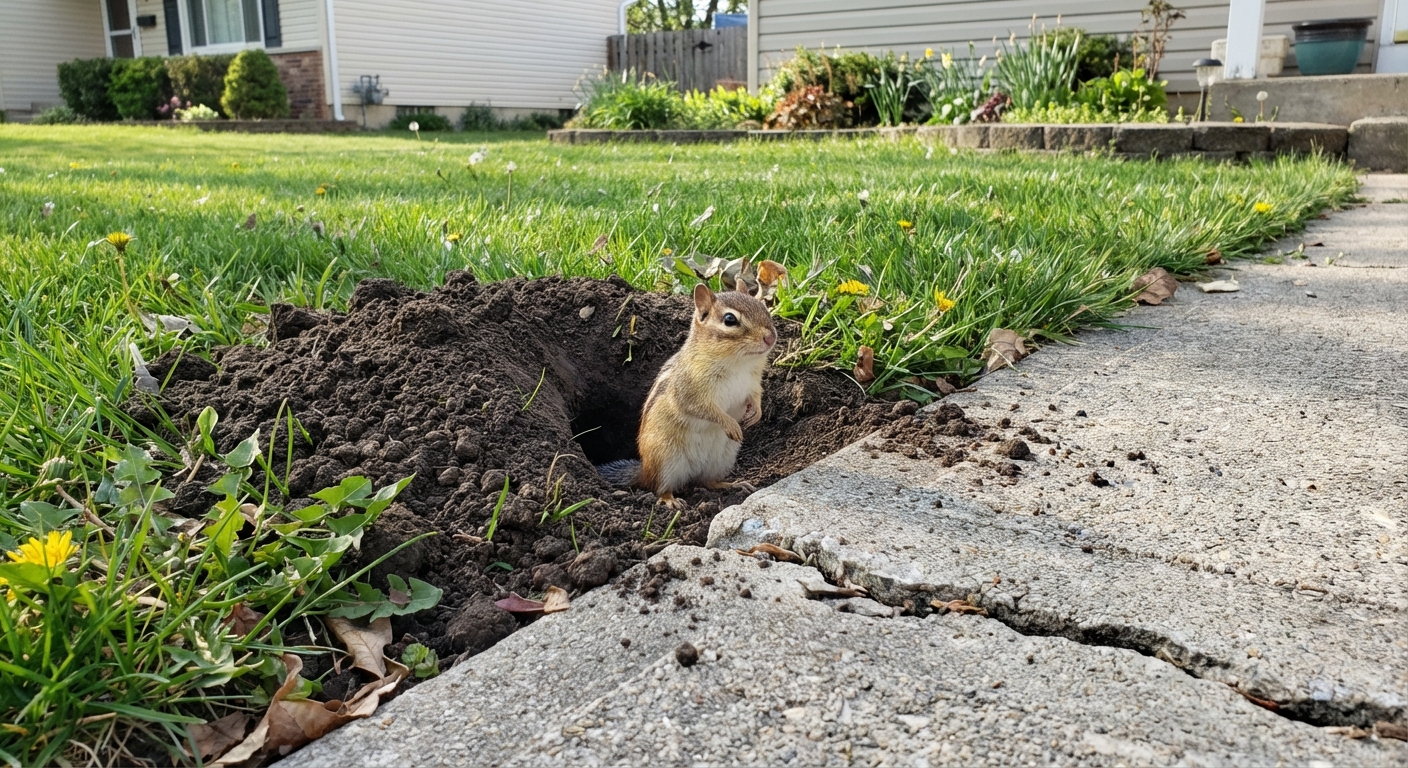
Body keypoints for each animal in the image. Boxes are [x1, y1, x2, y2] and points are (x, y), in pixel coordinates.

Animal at [597, 284, 777, 509]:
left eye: (764, 307)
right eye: (729, 320)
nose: (771, 338)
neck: (738, 364)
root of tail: (644, 468)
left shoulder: (753, 384)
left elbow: (756, 397)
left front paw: (756, 414)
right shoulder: (690, 391)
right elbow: (705, 409)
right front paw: (730, 424)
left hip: (722, 459)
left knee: (708, 482)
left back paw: (733, 484)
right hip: (666, 460)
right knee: (659, 487)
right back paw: (670, 500)